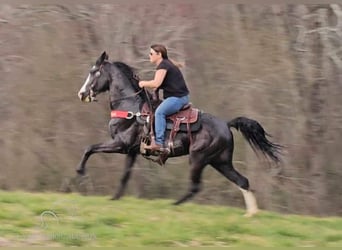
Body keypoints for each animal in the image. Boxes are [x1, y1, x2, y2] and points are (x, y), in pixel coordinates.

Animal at [76, 51, 282, 217]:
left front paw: (80, 172)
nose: (82, 94)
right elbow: (125, 175)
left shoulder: (120, 144)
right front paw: (115, 198)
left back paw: (174, 204)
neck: (130, 108)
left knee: (195, 186)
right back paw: (251, 214)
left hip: (198, 158)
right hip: (220, 161)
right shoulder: (131, 151)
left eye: (94, 72)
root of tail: (226, 124)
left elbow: (89, 148)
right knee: (242, 181)